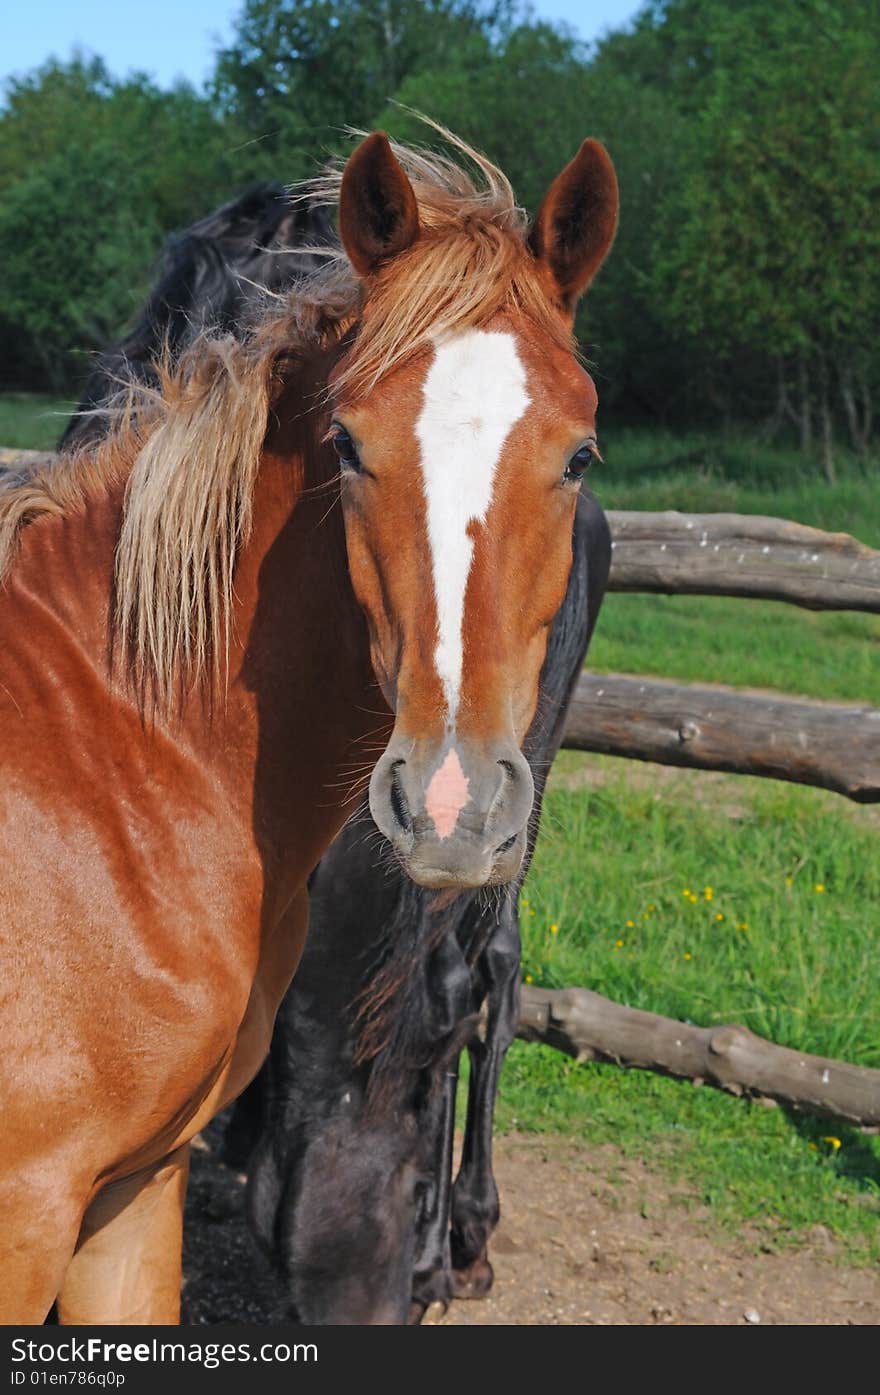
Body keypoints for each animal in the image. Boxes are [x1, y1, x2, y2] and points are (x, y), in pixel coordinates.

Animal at [0, 125, 619, 1322]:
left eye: (578, 455)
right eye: (346, 443)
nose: (450, 802)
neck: (114, 744)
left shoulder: (130, 1190)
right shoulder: (29, 1212)